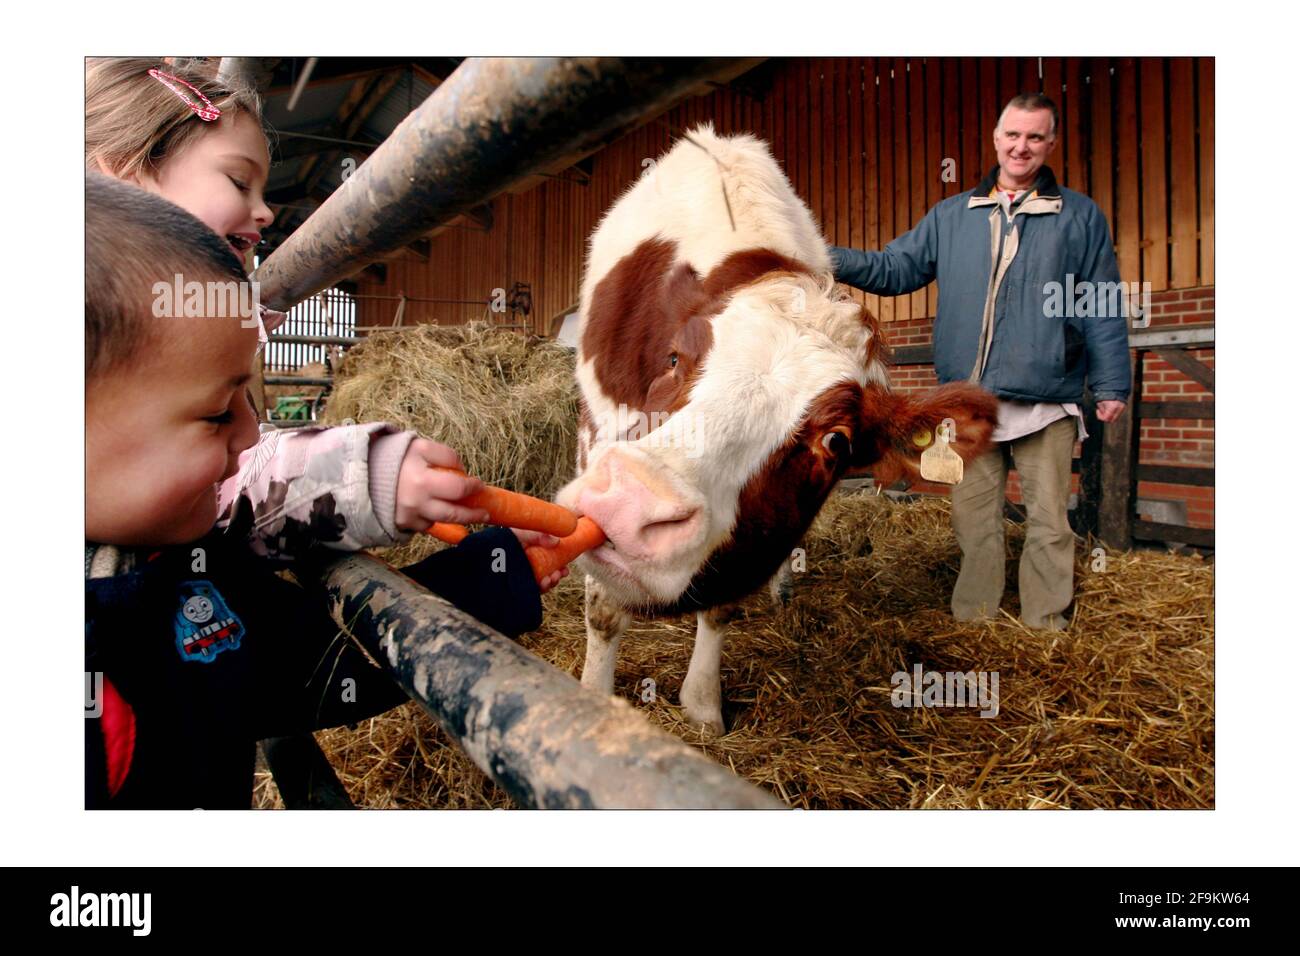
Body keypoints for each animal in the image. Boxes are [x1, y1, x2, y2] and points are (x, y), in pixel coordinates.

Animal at [551, 125, 993, 733]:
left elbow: (723, 605)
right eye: (674, 359)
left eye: (836, 441)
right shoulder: (598, 430)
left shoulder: (752, 536)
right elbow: (604, 612)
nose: (629, 505)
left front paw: (703, 705)